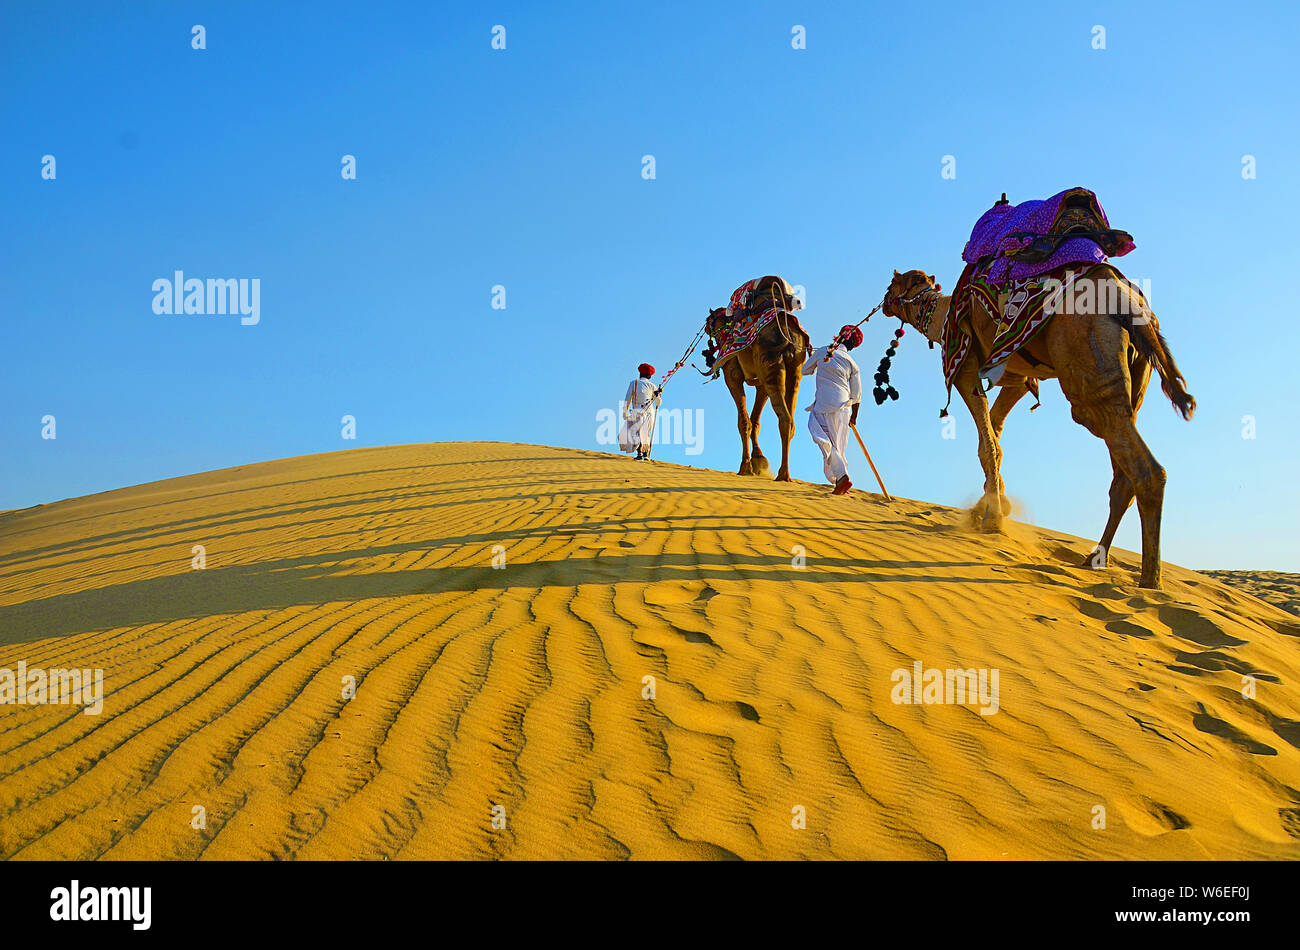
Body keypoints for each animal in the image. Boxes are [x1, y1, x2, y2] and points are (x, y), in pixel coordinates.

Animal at [707, 278, 806, 478]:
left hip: (771, 364)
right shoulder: (761, 384)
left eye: (709, 321)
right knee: (790, 420)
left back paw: (783, 474)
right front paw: (759, 460)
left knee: (784, 418)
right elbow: (755, 421)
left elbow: (744, 421)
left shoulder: (732, 374)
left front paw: (746, 466)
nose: (706, 326)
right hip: (793, 370)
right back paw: (785, 474)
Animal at [878, 263, 1190, 582]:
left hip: (1088, 375)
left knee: (1144, 468)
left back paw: (1149, 580)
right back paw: (1094, 560)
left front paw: (993, 519)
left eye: (891, 285)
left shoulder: (966, 368)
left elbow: (987, 445)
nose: (884, 303)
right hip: (1134, 382)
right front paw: (988, 507)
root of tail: (1128, 302)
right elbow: (994, 436)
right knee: (1124, 472)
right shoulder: (1018, 378)